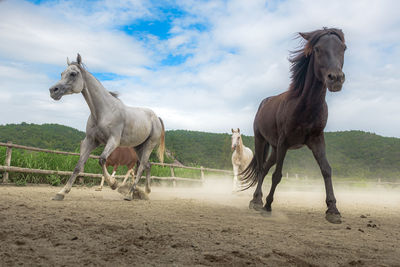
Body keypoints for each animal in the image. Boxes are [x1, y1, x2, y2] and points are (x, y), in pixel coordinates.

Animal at [49, 54, 165, 201]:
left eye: (73, 73)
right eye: (61, 73)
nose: (53, 91)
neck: (103, 111)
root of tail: (156, 117)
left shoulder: (113, 141)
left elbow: (102, 159)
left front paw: (114, 184)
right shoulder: (91, 141)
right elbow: (78, 166)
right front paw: (61, 193)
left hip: (149, 144)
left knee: (141, 167)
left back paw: (129, 194)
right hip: (138, 146)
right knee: (148, 165)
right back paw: (146, 191)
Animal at [241, 27, 346, 224]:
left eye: (344, 48)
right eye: (317, 49)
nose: (335, 78)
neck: (304, 106)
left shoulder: (317, 140)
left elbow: (326, 170)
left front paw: (333, 210)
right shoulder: (284, 142)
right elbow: (277, 175)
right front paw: (268, 206)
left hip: (275, 149)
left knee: (265, 168)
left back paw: (257, 200)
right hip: (262, 141)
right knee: (261, 168)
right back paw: (257, 202)